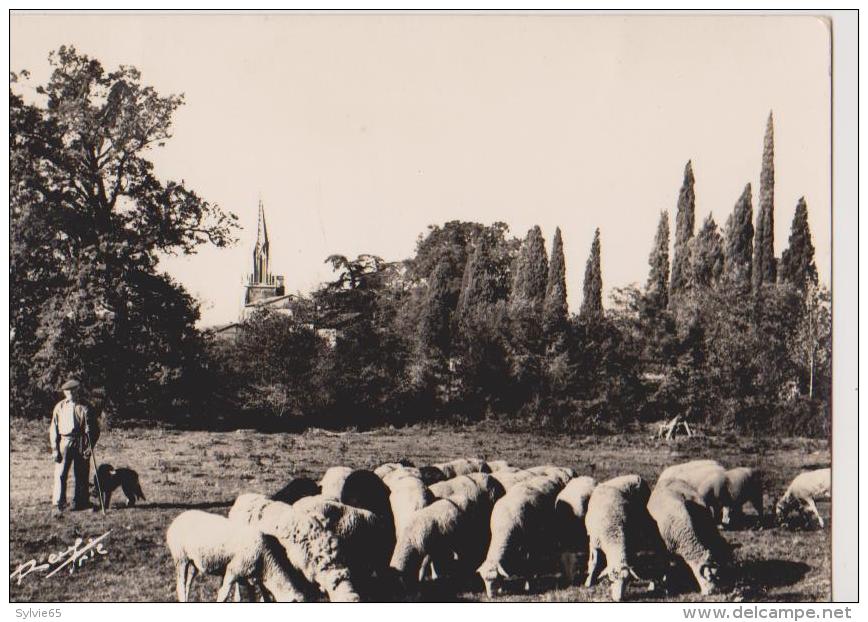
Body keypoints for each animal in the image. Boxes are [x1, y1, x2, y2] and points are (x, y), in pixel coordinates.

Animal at [166, 512, 308, 604]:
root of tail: (176, 520)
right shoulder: (233, 570)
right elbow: (223, 595)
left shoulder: (248, 576)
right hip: (180, 557)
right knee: (180, 586)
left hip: (193, 562)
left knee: (188, 584)